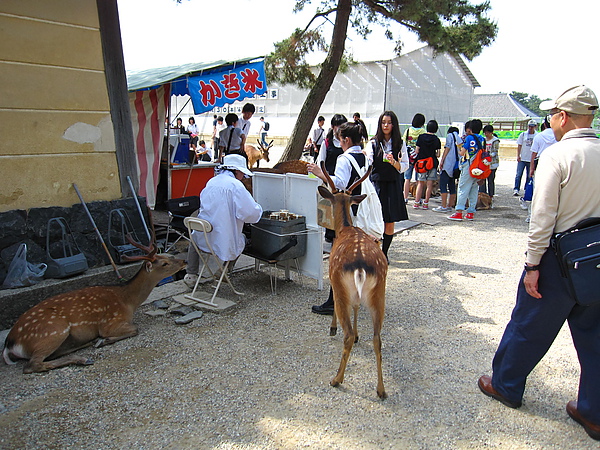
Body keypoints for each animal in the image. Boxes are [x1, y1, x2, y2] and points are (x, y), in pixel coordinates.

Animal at [2, 234, 185, 374]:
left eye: (167, 257)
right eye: (165, 263)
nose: (183, 262)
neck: (127, 300)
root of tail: (10, 343)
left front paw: (100, 341)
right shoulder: (110, 322)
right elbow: (134, 328)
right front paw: (104, 340)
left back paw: (86, 345)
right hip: (53, 331)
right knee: (32, 365)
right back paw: (83, 358)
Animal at [318, 161, 390, 398]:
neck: (346, 228)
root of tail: (360, 266)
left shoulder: (332, 276)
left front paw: (332, 328)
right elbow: (357, 306)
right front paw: (360, 335)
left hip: (343, 286)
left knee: (347, 334)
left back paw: (337, 379)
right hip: (379, 292)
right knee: (377, 338)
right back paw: (381, 389)